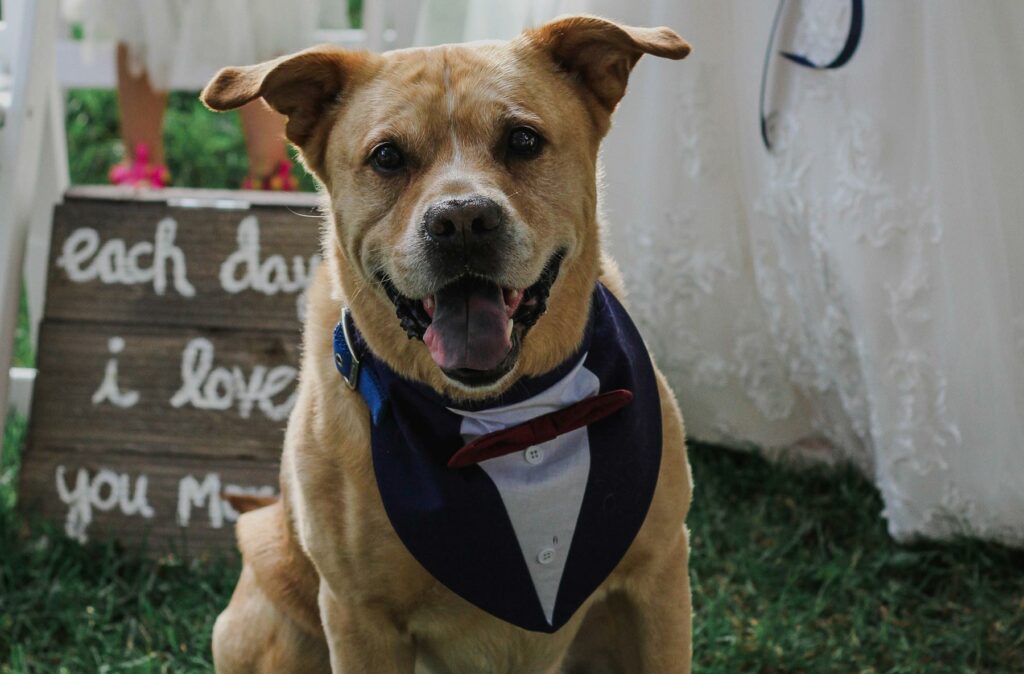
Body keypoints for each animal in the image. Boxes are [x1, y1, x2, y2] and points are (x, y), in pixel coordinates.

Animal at [197, 15, 696, 671]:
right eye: (387, 156)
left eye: (523, 141)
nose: (461, 221)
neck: (511, 420)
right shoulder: (360, 619)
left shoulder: (659, 576)